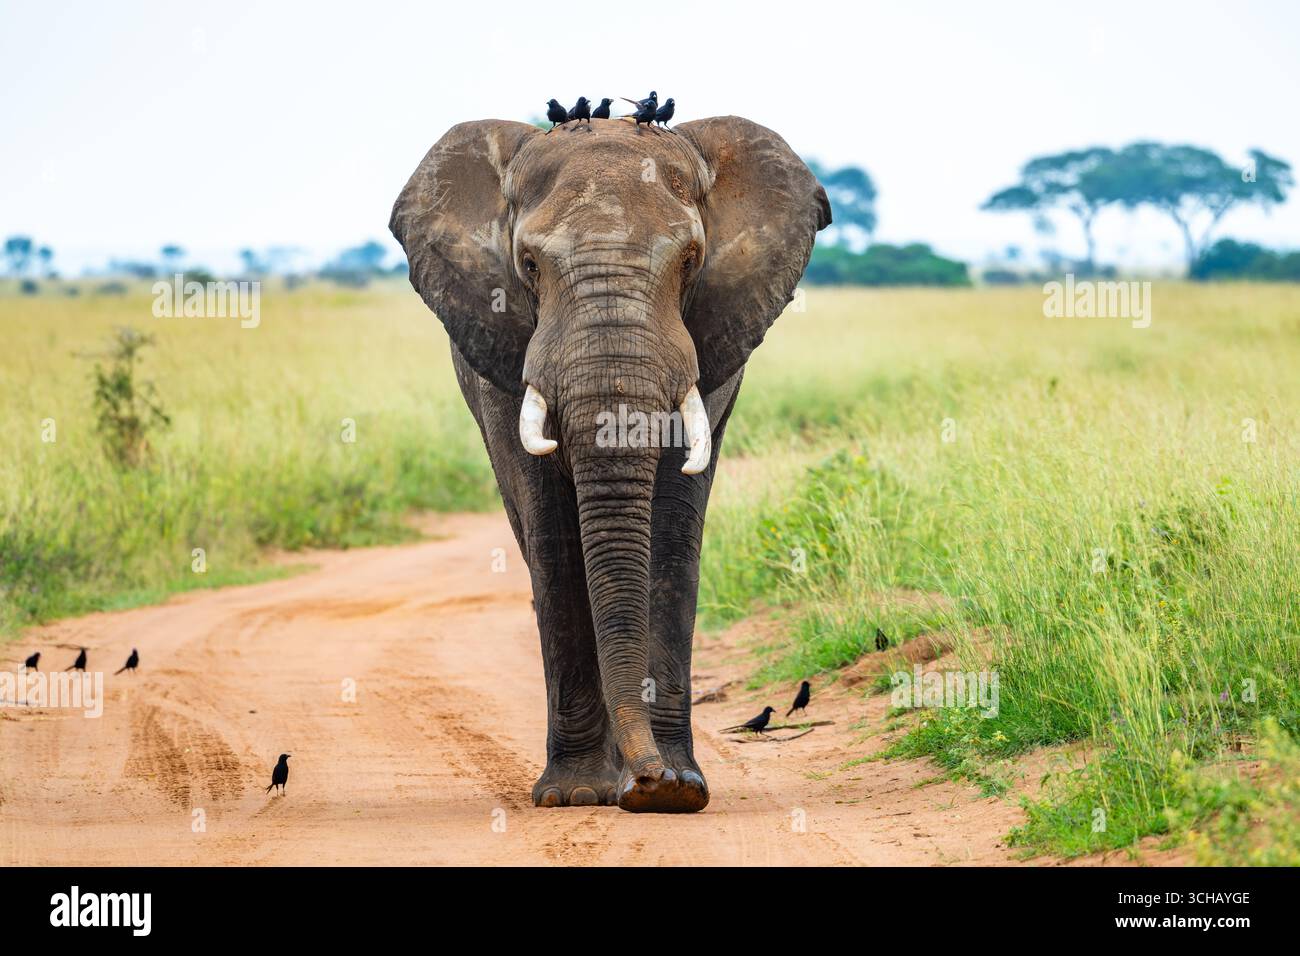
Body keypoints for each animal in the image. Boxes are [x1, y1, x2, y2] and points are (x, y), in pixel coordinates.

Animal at [390, 115, 829, 812]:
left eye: (691, 260)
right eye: (529, 263)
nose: (646, 781)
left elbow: (673, 534)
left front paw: (678, 790)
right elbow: (553, 535)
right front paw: (574, 794)